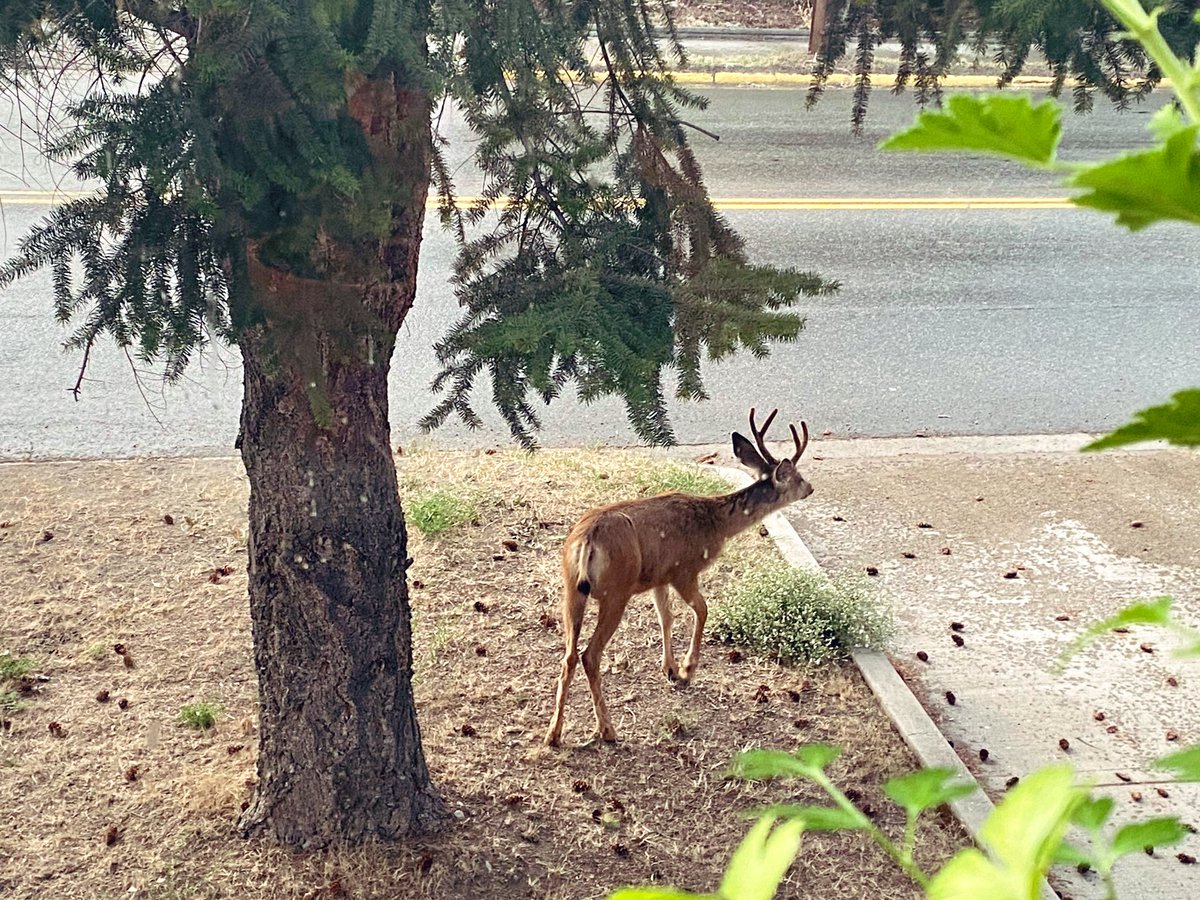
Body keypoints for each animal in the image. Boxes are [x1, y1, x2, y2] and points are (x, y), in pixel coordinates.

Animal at [547, 408, 816, 748]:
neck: (715, 523)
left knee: (569, 655)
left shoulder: (658, 577)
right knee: (589, 655)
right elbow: (702, 609)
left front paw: (670, 670)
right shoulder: (684, 570)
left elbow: (666, 617)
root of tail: (586, 542)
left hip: (571, 587)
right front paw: (688, 670)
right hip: (616, 591)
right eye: (797, 476)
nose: (811, 488)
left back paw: (553, 734)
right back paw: (607, 730)